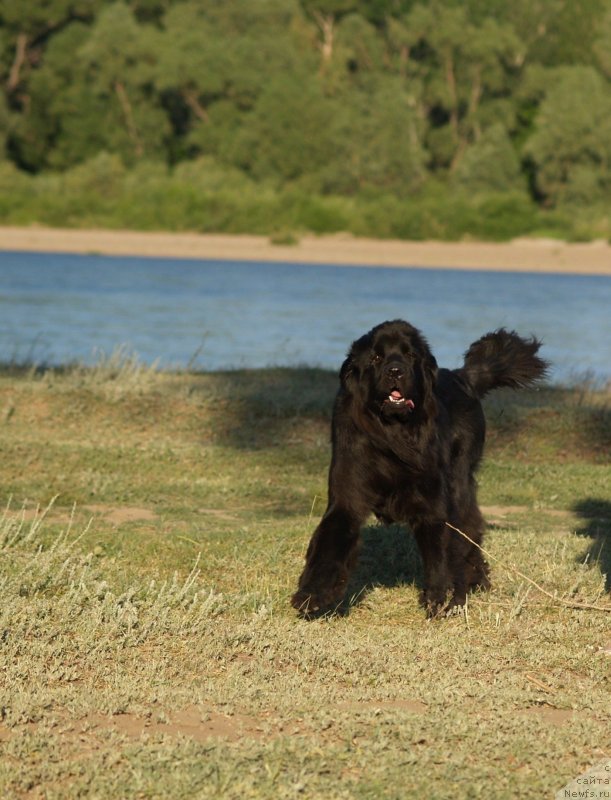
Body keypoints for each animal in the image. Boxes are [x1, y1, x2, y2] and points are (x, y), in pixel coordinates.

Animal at [292, 320, 548, 620]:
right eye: (376, 357)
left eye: (410, 355)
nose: (395, 370)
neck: (392, 435)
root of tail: (463, 378)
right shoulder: (348, 495)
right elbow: (328, 544)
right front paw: (312, 594)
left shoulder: (433, 502)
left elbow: (439, 553)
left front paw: (440, 599)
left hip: (459, 481)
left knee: (468, 527)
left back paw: (473, 580)